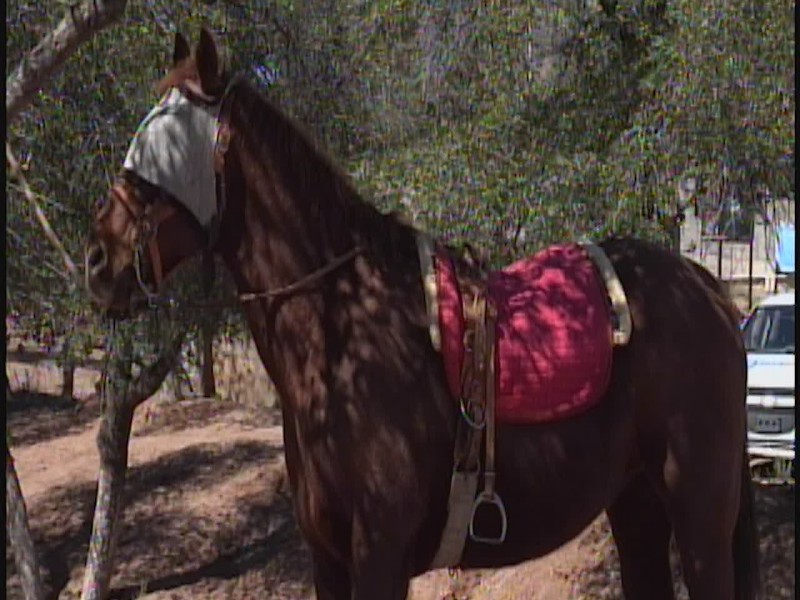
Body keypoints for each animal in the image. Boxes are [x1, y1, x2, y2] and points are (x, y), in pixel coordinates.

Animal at [84, 29, 760, 600]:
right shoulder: (327, 558)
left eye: (166, 149)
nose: (98, 261)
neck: (341, 336)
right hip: (637, 505)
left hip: (699, 514)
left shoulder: (379, 554)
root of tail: (706, 288)